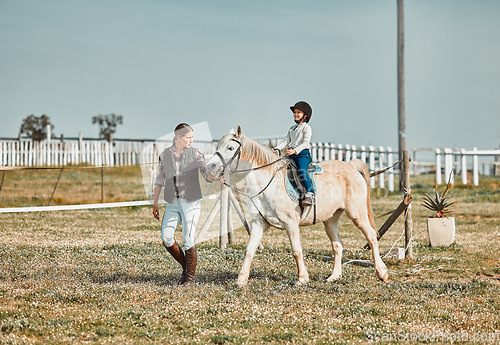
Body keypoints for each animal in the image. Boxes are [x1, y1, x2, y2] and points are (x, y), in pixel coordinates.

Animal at [205, 125, 388, 286]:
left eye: (230, 148)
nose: (210, 168)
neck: (269, 183)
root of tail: (350, 166)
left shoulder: (291, 223)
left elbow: (296, 250)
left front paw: (302, 279)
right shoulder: (259, 223)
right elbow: (249, 250)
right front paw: (241, 281)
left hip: (357, 214)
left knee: (372, 237)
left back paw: (382, 273)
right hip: (330, 219)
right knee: (337, 245)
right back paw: (334, 277)